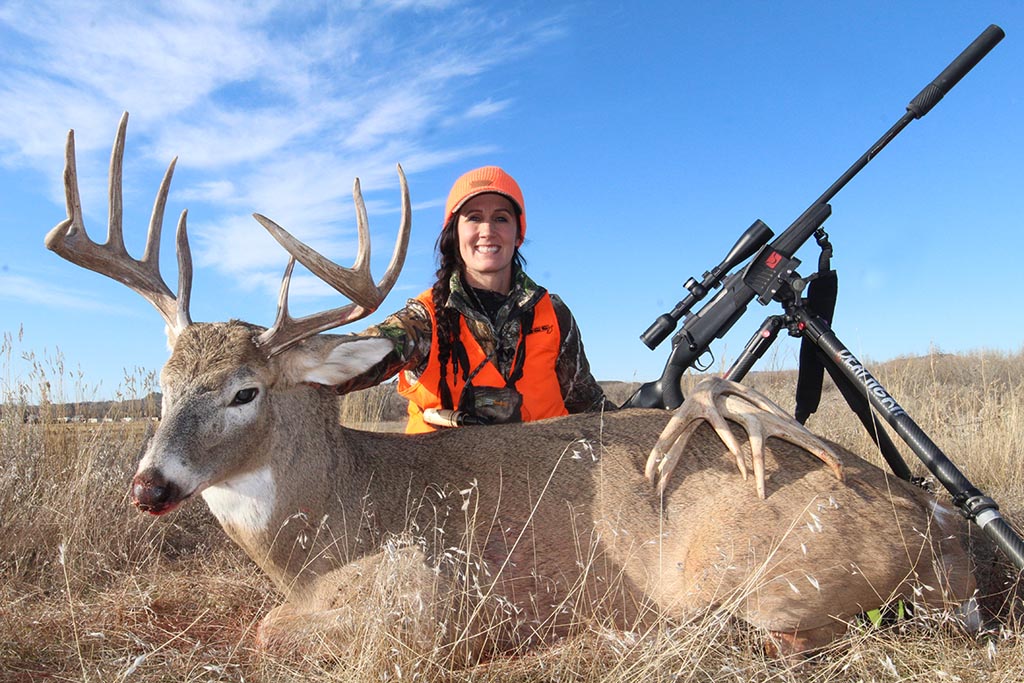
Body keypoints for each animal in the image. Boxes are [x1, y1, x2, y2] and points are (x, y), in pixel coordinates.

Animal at [46, 114, 976, 663]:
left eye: (244, 391)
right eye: (164, 383)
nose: (150, 484)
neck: (330, 518)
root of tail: (942, 525)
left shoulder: (441, 584)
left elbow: (270, 631)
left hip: (776, 571)